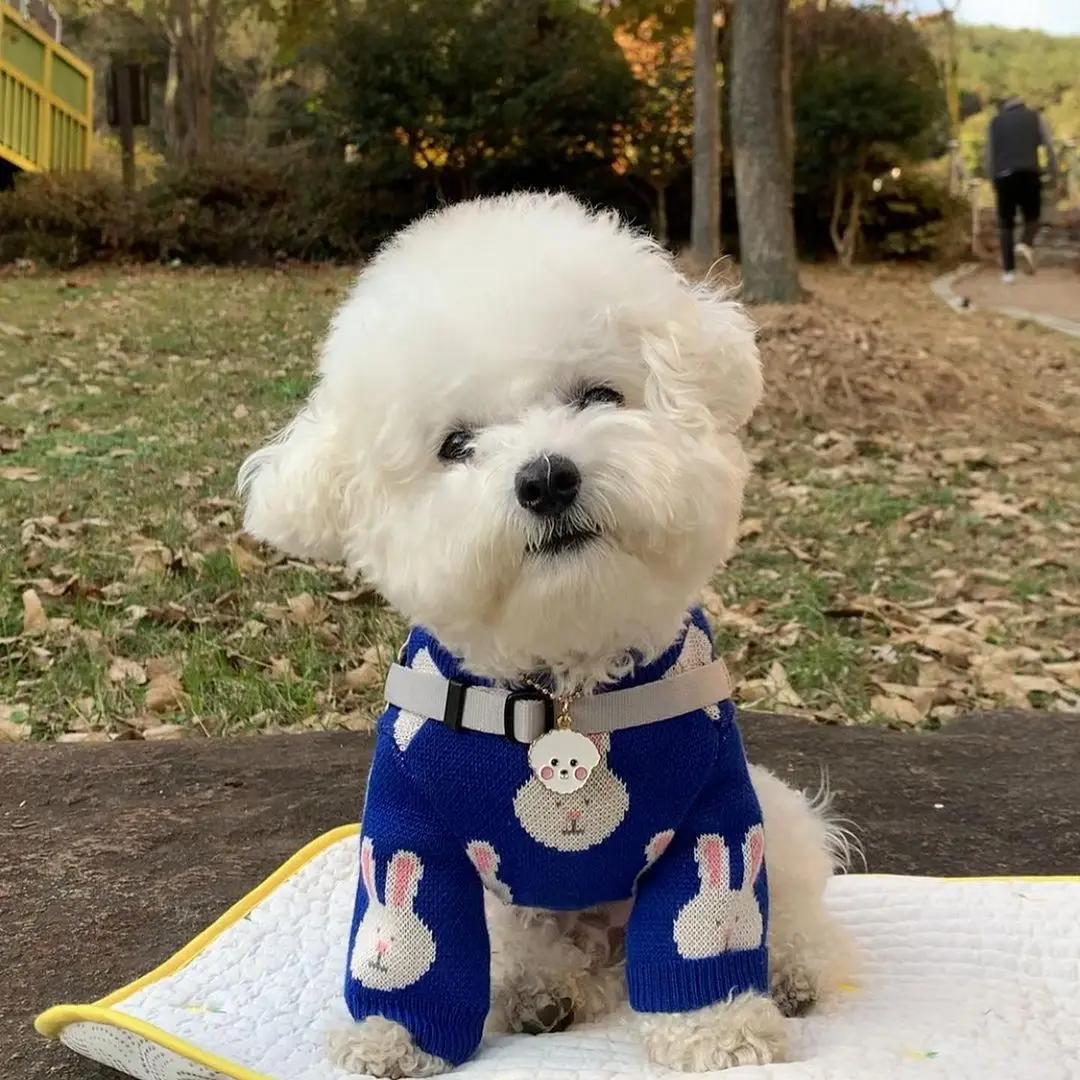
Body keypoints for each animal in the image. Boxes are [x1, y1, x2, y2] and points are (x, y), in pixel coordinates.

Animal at [240, 196, 855, 1080]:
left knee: (792, 894)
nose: (545, 478)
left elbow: (708, 922)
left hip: (777, 817)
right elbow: (416, 939)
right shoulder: (410, 824)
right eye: (456, 445)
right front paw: (392, 1038)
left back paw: (790, 968)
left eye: (598, 394)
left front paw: (717, 1031)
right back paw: (542, 988)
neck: (560, 688)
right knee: (531, 945)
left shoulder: (713, 806)